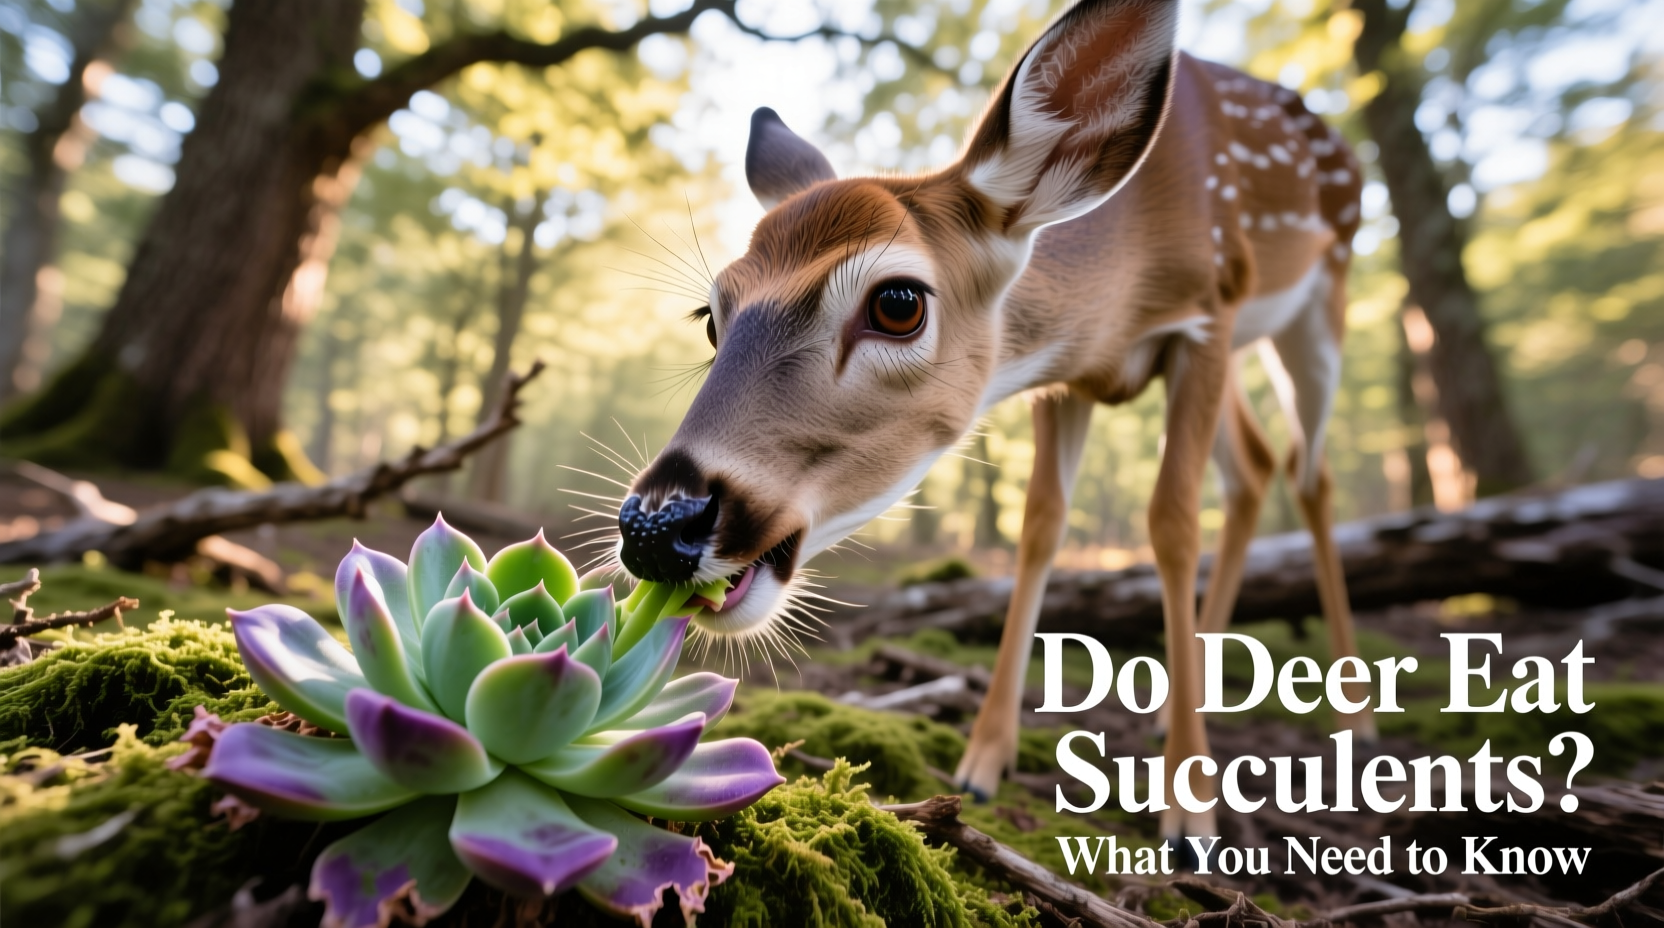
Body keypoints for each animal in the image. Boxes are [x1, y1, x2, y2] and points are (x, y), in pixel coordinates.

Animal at [613, 0, 1367, 850]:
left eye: (897, 302)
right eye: (714, 316)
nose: (656, 525)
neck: (1123, 287)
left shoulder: (1208, 313)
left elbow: (1172, 523)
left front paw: (1191, 808)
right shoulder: (1066, 376)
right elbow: (1040, 526)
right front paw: (981, 761)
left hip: (1318, 304)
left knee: (1309, 472)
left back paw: (1353, 718)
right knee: (1256, 467)